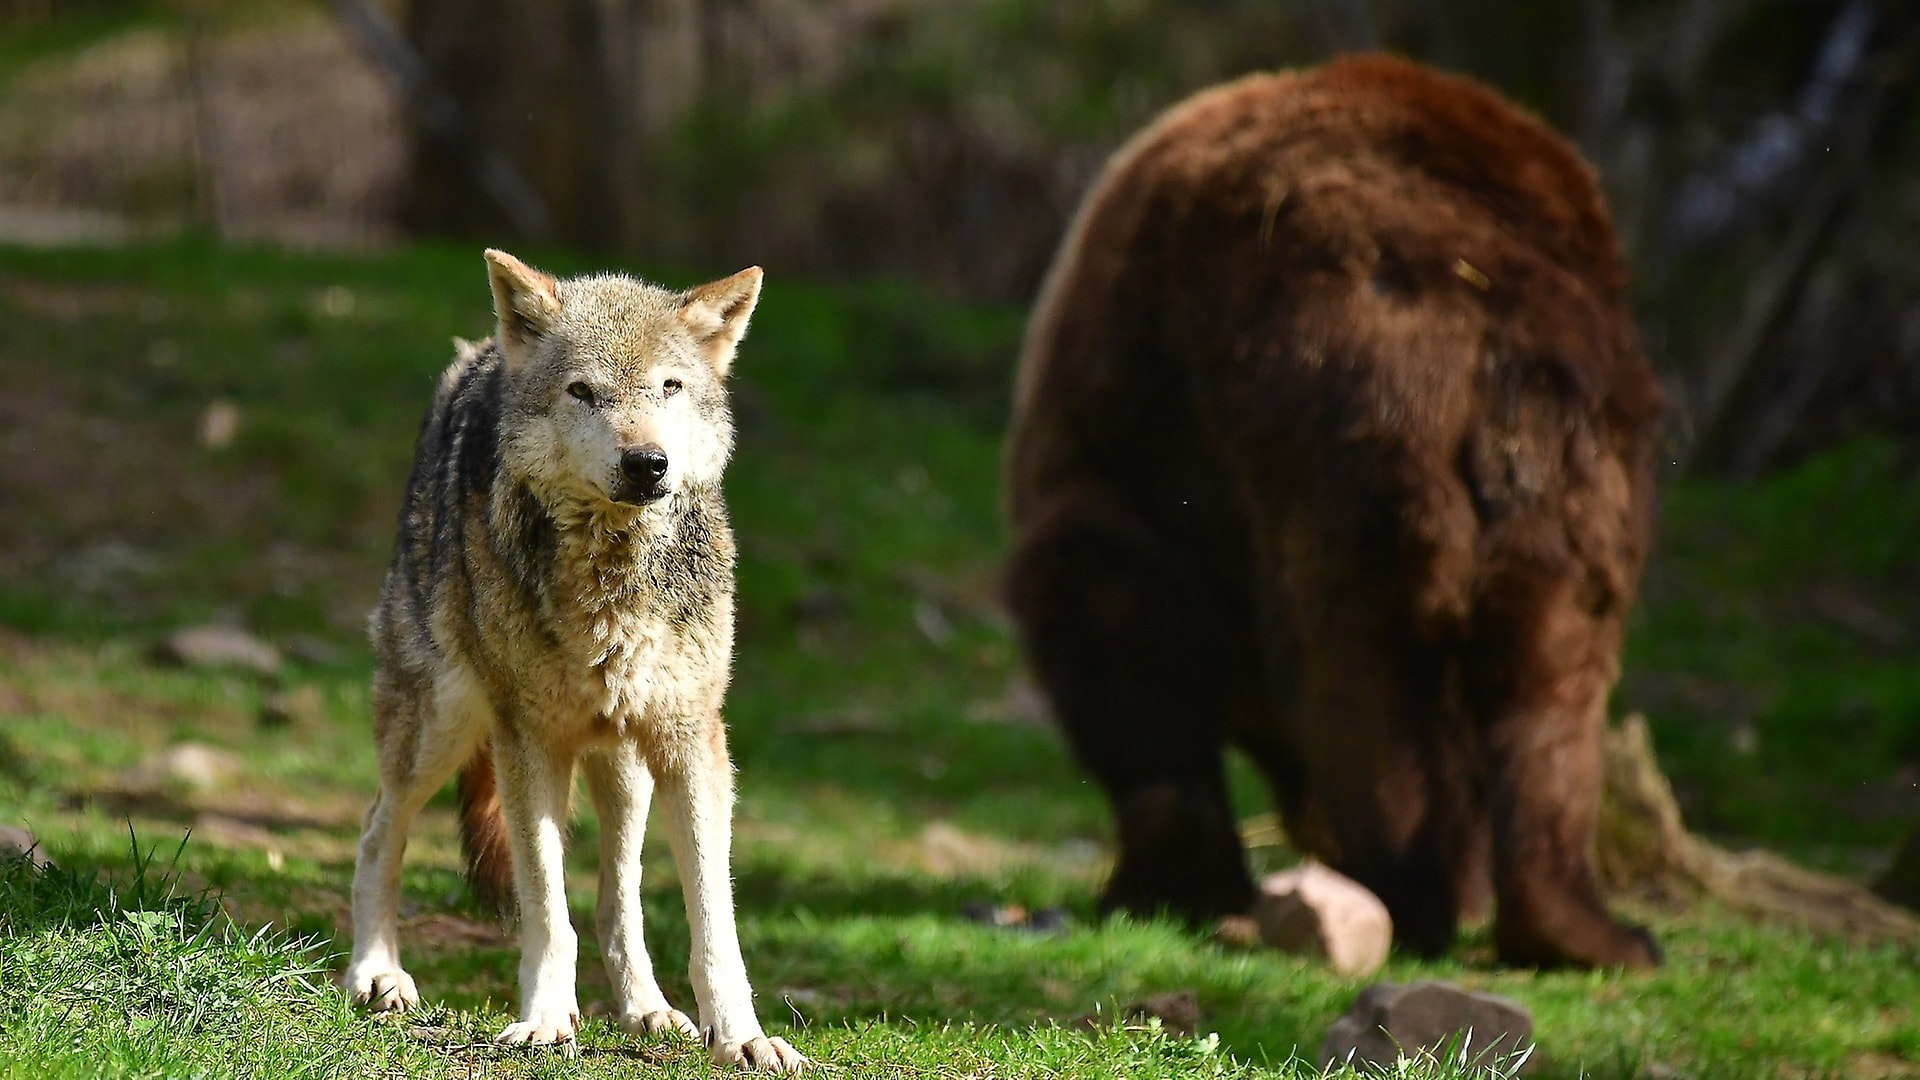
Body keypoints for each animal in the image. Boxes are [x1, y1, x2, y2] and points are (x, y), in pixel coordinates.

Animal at [345, 247, 802, 1060]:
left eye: (670, 387)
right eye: (583, 392)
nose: (647, 462)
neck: (613, 577)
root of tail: (480, 353)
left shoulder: (692, 744)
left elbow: (714, 927)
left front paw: (742, 1038)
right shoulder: (529, 743)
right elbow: (548, 914)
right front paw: (546, 1020)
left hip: (625, 766)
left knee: (620, 900)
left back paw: (647, 1011)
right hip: (443, 726)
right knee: (377, 830)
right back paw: (377, 975)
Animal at [1006, 52, 1666, 968]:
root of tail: (1488, 318)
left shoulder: (1129, 444)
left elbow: (1111, 608)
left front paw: (1162, 884)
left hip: (1344, 429)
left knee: (1365, 668)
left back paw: (1407, 893)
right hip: (1579, 480)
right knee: (1553, 682)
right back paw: (1581, 927)